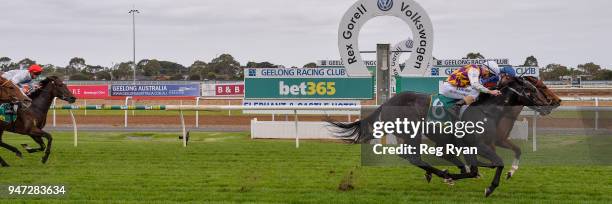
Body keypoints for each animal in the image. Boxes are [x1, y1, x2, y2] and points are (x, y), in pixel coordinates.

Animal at [328, 75, 552, 196]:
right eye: (532, 90)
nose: (550, 104)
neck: (487, 110)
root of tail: (386, 103)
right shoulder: (478, 144)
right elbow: (494, 163)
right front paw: (486, 187)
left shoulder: (479, 145)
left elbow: (480, 166)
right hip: (412, 132)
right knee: (414, 157)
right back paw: (440, 173)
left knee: (409, 155)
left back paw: (436, 173)